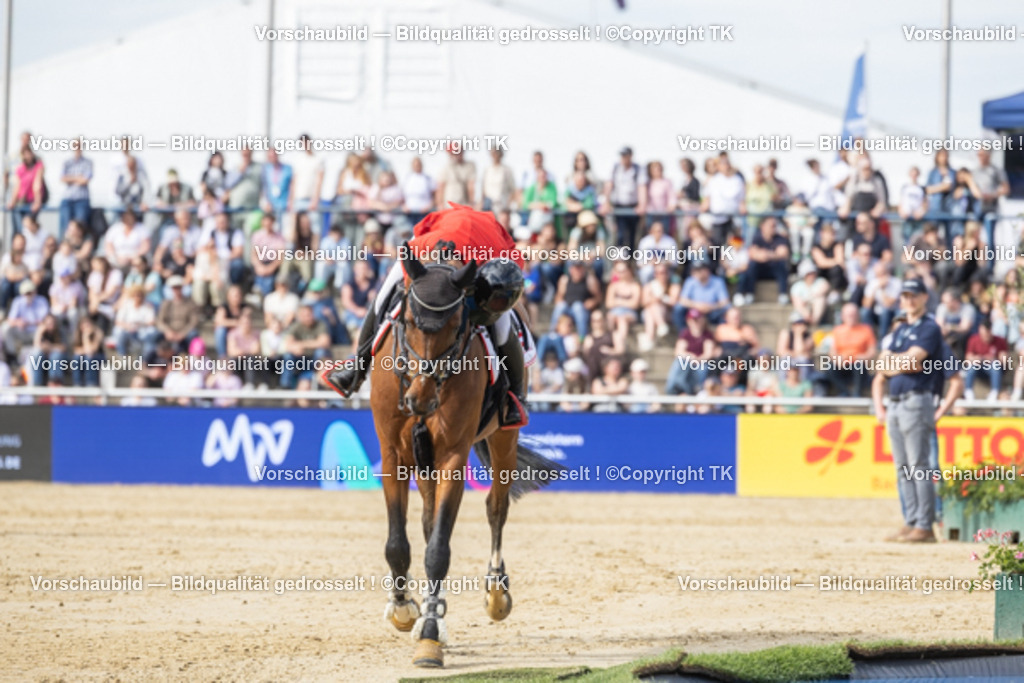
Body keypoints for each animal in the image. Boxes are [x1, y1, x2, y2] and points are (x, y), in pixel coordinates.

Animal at [368, 252, 564, 668]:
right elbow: (398, 544)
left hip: (504, 438)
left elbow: (439, 550)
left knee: (496, 509)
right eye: (408, 321)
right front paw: (405, 609)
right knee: (428, 521)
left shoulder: (452, 459)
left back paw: (496, 593)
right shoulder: (393, 455)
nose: (420, 399)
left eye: (456, 326)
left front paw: (429, 632)